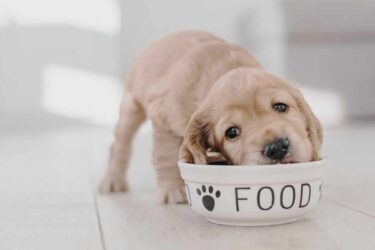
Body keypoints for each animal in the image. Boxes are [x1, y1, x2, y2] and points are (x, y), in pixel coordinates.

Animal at [100, 30, 324, 203]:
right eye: (232, 132)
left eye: (280, 106)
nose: (276, 148)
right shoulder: (162, 118)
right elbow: (166, 156)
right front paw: (172, 189)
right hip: (131, 106)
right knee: (119, 144)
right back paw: (113, 180)